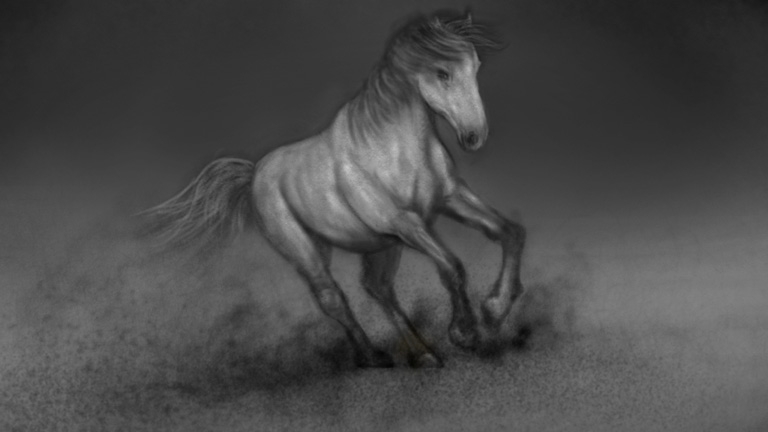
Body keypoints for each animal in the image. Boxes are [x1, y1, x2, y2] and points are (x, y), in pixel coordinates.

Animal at [142, 10, 526, 368]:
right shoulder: (404, 221)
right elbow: (452, 266)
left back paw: (422, 354)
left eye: (475, 67)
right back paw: (373, 356)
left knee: (378, 289)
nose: (475, 136)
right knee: (333, 298)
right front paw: (465, 332)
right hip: (310, 251)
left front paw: (495, 309)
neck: (392, 149)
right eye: (442, 73)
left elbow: (510, 233)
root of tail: (255, 174)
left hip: (381, 244)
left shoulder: (450, 199)